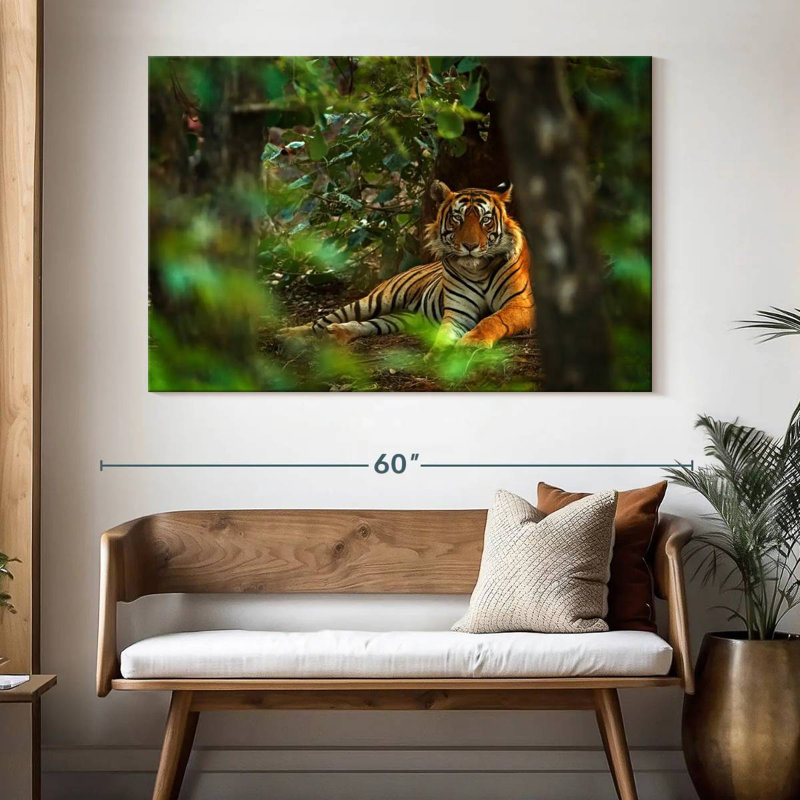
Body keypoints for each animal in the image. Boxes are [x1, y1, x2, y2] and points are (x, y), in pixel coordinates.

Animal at [280, 180, 534, 351]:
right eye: (457, 218)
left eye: (485, 220)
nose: (470, 246)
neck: (478, 269)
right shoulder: (458, 311)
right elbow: (445, 333)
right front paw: (438, 355)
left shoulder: (522, 304)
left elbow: (492, 319)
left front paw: (472, 343)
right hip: (375, 300)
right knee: (321, 321)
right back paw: (286, 334)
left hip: (402, 318)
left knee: (368, 324)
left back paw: (338, 333)